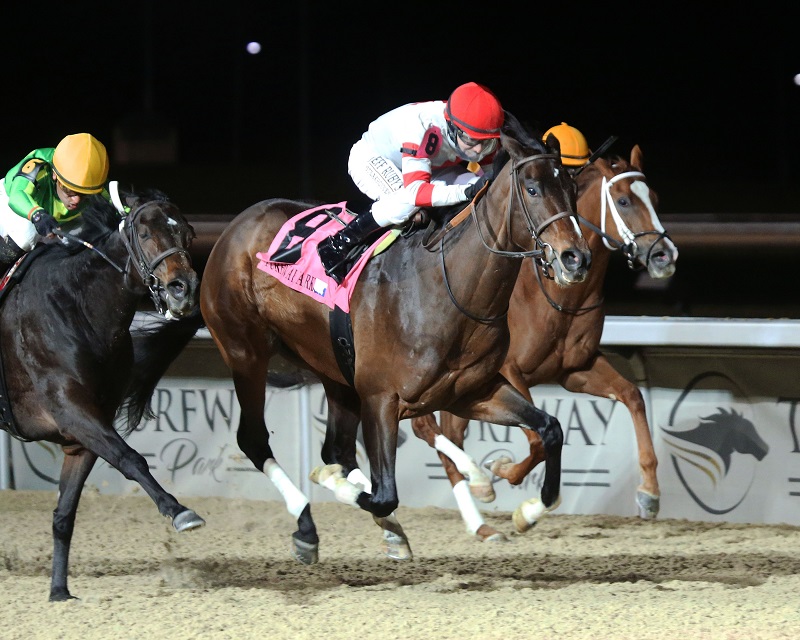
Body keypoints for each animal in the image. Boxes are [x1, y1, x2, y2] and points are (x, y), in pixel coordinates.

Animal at [1, 186, 206, 600]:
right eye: (144, 234)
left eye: (188, 233)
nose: (185, 290)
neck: (77, 307)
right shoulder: (72, 411)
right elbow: (131, 459)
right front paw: (180, 512)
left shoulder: (82, 434)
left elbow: (64, 514)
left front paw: (59, 591)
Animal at [197, 112, 592, 564]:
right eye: (532, 189)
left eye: (573, 189)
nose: (576, 259)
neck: (448, 289)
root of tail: (237, 225)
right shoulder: (381, 398)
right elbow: (385, 493)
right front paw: (335, 484)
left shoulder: (472, 392)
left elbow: (551, 429)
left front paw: (526, 510)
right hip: (245, 352)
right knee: (255, 438)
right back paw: (308, 523)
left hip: (332, 369)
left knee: (336, 448)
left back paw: (388, 526)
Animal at [410, 145, 680, 540]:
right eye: (624, 200)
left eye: (656, 198)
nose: (665, 256)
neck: (557, 295)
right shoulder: (509, 370)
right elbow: (538, 441)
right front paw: (514, 487)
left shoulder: (575, 369)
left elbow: (633, 395)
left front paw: (649, 492)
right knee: (428, 429)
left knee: (448, 432)